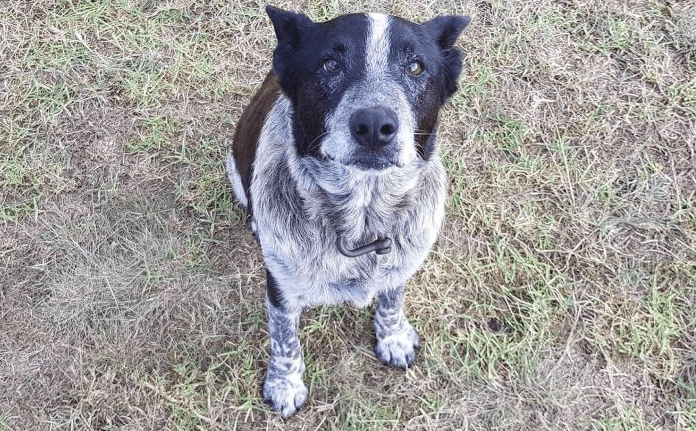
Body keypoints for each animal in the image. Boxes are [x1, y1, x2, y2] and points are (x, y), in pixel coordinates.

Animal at [228, 5, 474, 420]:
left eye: (416, 67)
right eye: (330, 64)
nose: (374, 125)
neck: (362, 218)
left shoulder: (400, 264)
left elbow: (391, 301)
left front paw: (393, 338)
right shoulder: (281, 287)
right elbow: (284, 340)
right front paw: (285, 385)